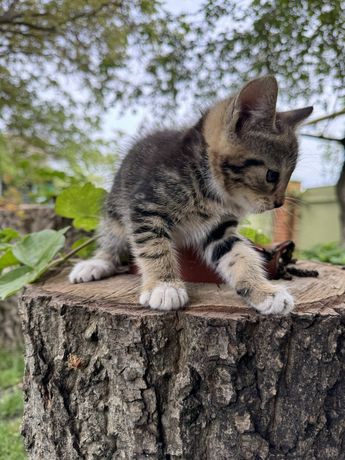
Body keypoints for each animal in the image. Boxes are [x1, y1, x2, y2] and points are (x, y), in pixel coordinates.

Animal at [69, 77, 312, 314]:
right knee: (112, 239)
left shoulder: (219, 231)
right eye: (272, 175)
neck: (208, 190)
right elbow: (154, 246)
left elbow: (240, 255)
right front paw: (163, 286)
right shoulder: (145, 207)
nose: (279, 203)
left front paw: (264, 291)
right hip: (115, 210)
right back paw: (96, 263)